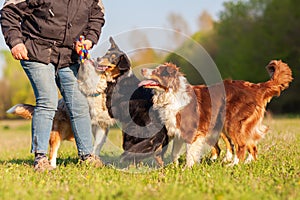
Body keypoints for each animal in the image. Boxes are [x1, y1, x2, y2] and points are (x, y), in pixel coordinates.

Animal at [141, 61, 292, 167]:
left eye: (157, 71)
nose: (142, 69)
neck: (171, 94)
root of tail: (256, 87)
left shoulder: (191, 131)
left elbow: (190, 152)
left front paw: (187, 168)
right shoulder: (177, 131)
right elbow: (174, 153)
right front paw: (174, 167)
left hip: (233, 124)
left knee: (241, 146)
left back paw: (234, 165)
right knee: (251, 146)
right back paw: (247, 162)